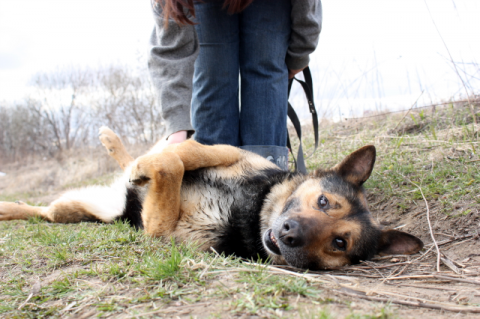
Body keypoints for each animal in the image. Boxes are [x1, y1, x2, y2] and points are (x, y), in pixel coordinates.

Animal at [0, 127, 422, 270]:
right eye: (323, 202)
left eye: (339, 243)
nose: (289, 234)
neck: (251, 209)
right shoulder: (230, 153)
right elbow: (186, 154)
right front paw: (148, 163)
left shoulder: (162, 230)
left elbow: (171, 169)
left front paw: (154, 168)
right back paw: (121, 150)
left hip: (78, 212)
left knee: (41, 212)